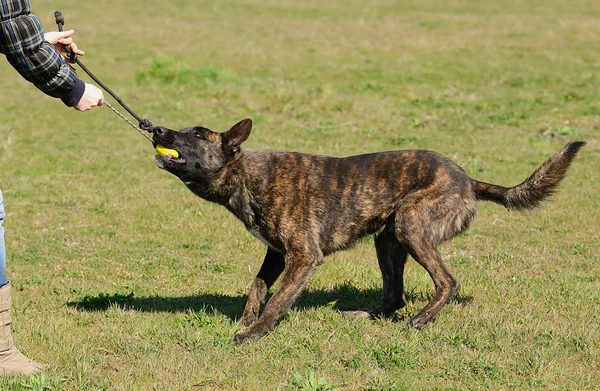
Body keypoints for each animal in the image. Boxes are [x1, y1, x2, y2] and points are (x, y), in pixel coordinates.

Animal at [151, 118, 584, 344]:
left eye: (196, 134)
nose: (156, 131)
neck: (247, 177)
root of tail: (466, 180)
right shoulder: (275, 254)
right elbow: (257, 288)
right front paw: (246, 320)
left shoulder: (303, 258)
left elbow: (277, 301)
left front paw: (254, 333)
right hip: (387, 240)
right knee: (394, 295)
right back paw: (365, 315)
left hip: (412, 225)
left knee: (447, 282)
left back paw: (422, 321)